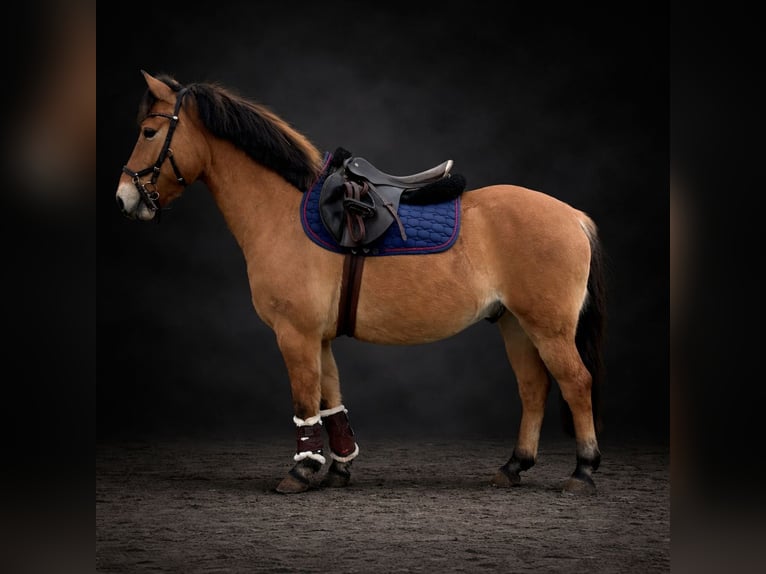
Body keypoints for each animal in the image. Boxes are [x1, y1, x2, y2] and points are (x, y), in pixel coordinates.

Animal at [115, 70, 606, 495]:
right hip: (515, 324)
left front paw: (300, 471)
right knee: (533, 388)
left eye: (149, 133)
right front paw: (339, 468)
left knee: (576, 382)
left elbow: (305, 402)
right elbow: (331, 400)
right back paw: (514, 465)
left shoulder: (295, 334)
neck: (282, 212)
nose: (124, 198)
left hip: (549, 327)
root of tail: (574, 217)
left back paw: (582, 471)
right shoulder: (320, 337)